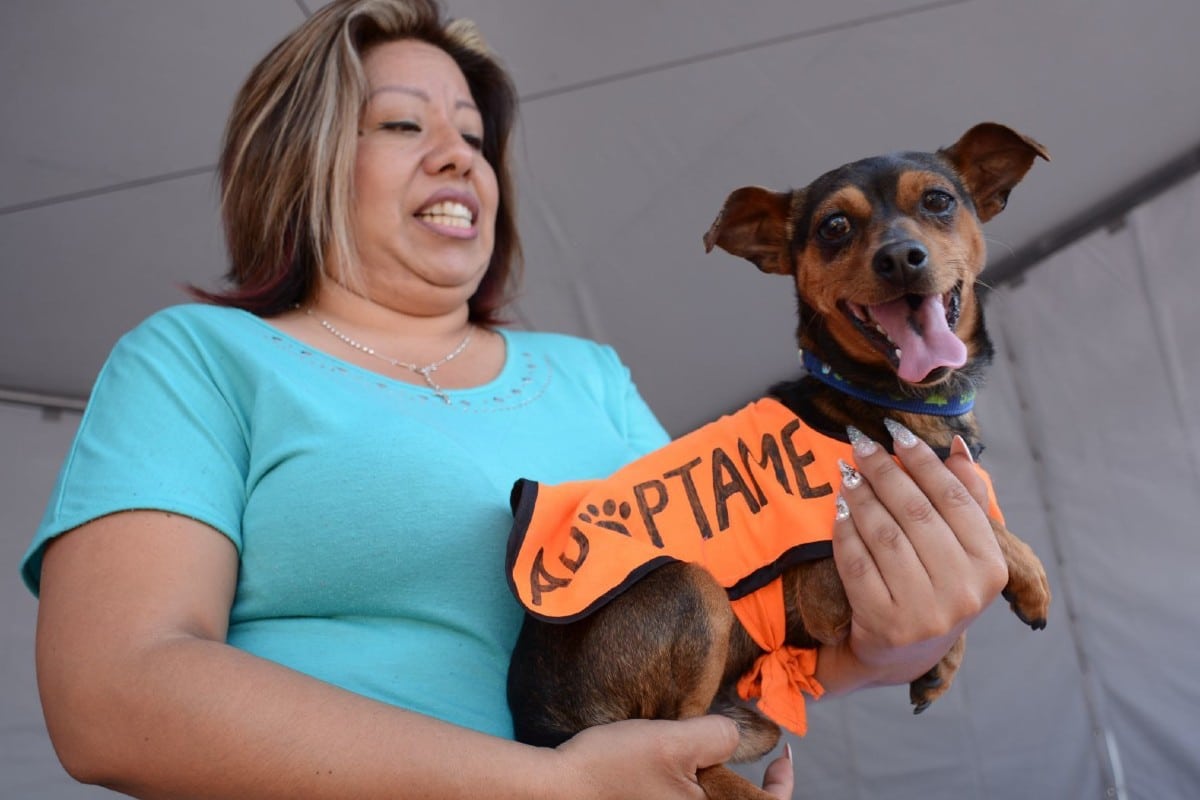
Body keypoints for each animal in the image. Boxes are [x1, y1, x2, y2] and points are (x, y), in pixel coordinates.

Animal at [506, 120, 1051, 800]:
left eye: (937, 201)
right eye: (835, 226)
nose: (900, 257)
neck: (888, 397)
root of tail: (537, 729)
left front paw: (939, 663)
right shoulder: (828, 591)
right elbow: (984, 521)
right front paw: (1028, 576)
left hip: (753, 718)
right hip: (691, 591)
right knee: (681, 754)